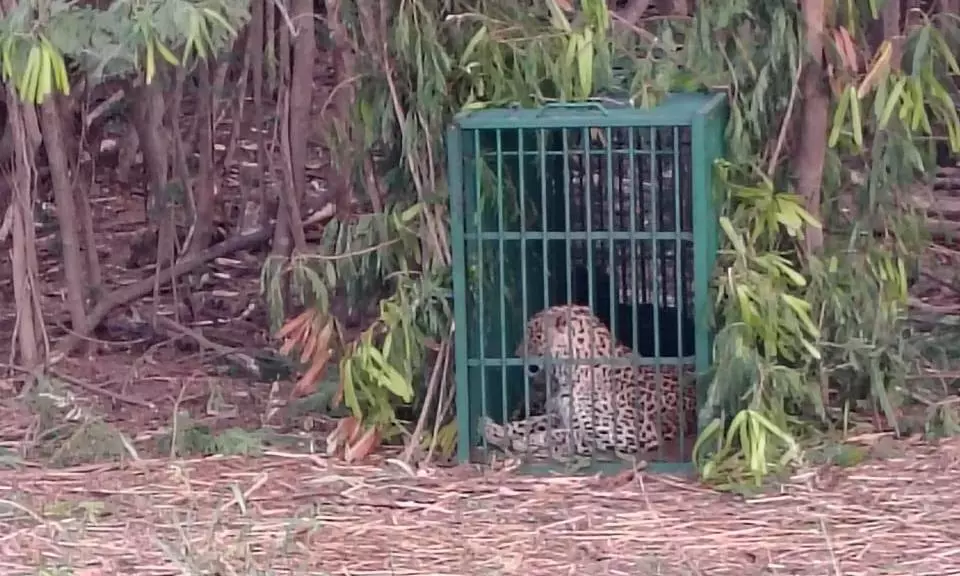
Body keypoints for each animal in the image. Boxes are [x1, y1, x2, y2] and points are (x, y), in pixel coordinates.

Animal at [480, 304, 697, 460]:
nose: (516, 354)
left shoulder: (633, 432)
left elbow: (569, 433)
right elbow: (532, 422)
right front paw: (498, 430)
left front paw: (527, 441)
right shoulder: (561, 414)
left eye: (533, 334)